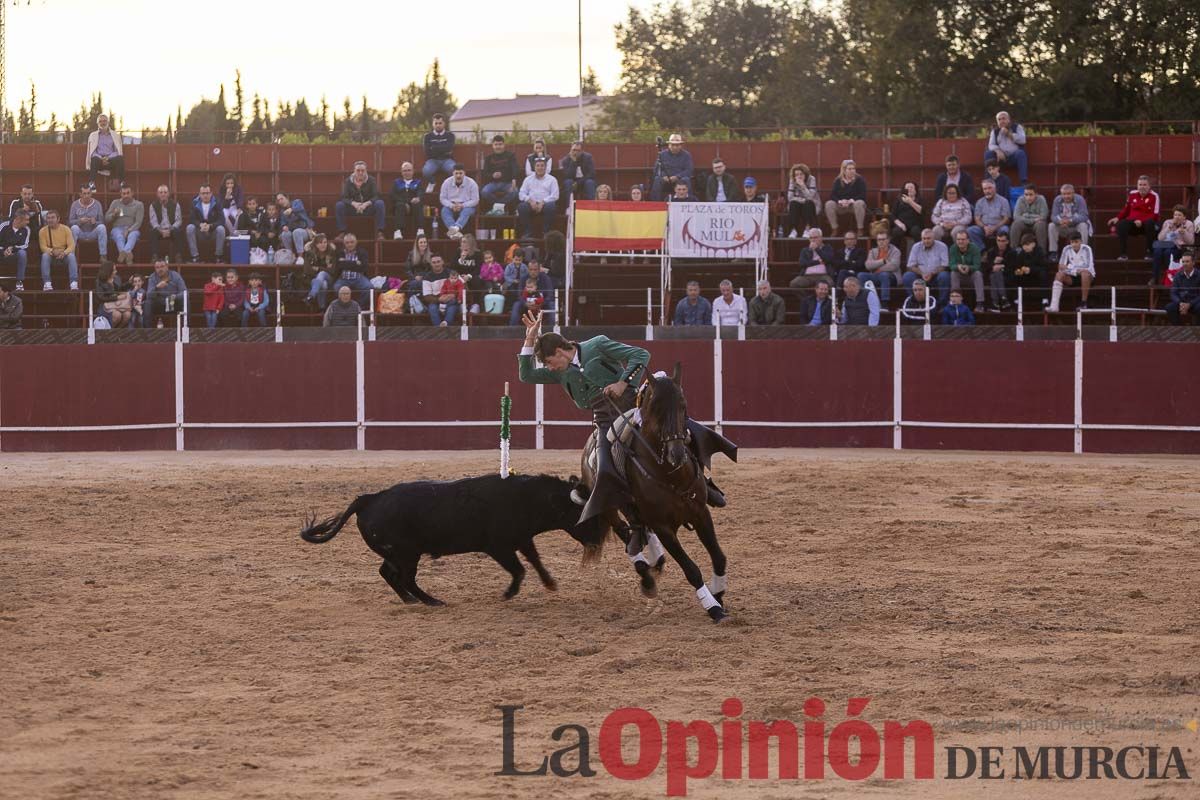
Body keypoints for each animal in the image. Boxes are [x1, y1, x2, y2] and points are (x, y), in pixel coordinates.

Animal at [300, 474, 600, 599]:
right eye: (582, 513)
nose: (597, 541)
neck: (528, 498)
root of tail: (369, 499)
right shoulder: (499, 547)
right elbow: (519, 570)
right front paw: (508, 593)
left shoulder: (522, 539)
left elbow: (535, 561)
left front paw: (550, 583)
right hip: (407, 554)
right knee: (405, 578)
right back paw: (431, 601)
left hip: (398, 554)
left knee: (388, 574)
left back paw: (412, 600)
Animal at [580, 364, 729, 623]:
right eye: (656, 407)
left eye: (683, 405)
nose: (676, 454)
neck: (670, 475)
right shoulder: (663, 526)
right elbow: (691, 569)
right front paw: (713, 607)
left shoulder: (700, 513)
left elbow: (719, 557)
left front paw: (718, 594)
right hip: (609, 507)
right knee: (625, 534)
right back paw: (647, 572)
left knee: (639, 532)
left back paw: (655, 559)